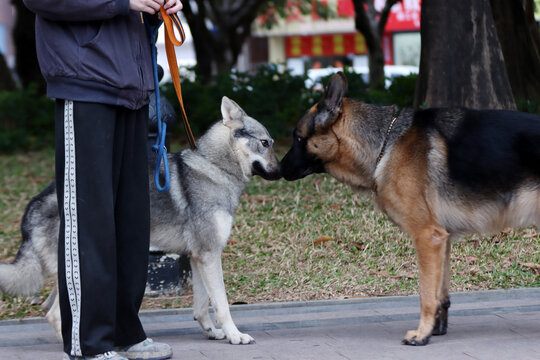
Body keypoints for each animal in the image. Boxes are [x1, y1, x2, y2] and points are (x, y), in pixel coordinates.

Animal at [1, 97, 282, 344]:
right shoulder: (209, 255)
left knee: (47, 308)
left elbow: (202, 306)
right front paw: (236, 335)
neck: (214, 167)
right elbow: (222, 304)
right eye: (265, 143)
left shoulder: (198, 257)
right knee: (54, 314)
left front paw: (212, 332)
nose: (282, 172)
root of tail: (34, 204)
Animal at [280, 71, 536, 344]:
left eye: (298, 138)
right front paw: (435, 329)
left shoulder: (427, 237)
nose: (277, 169)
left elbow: (426, 294)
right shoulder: (442, 240)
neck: (386, 143)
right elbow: (440, 295)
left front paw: (421, 334)